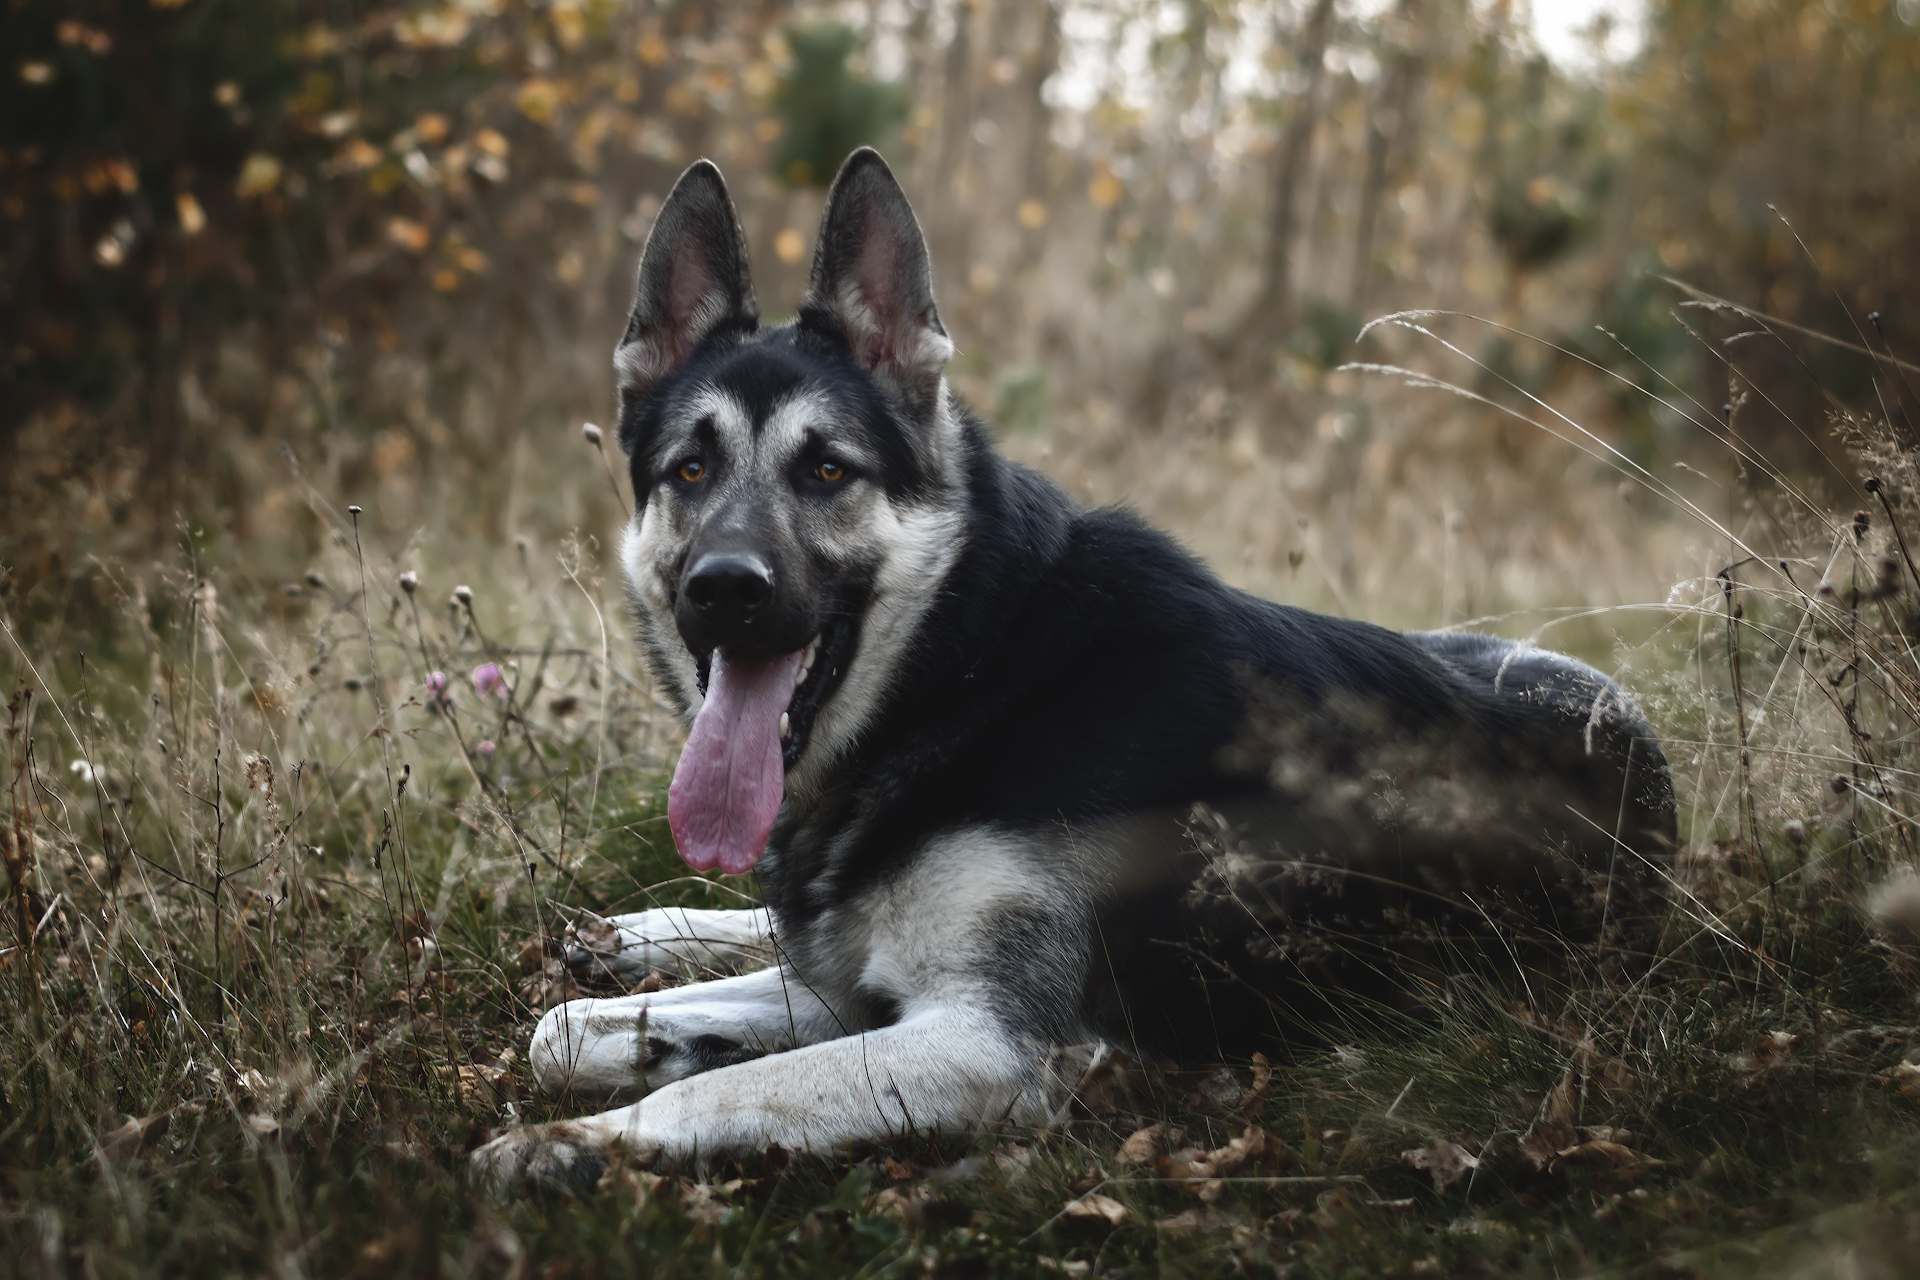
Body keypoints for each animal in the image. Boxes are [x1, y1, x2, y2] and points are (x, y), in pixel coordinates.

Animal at [472, 147, 1674, 1189]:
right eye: (688, 469)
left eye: (827, 471)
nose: (724, 588)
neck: (972, 671)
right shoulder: (874, 991)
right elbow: (562, 1032)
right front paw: (635, 1026)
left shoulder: (985, 1040)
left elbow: (715, 1088)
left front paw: (581, 1143)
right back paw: (637, 937)